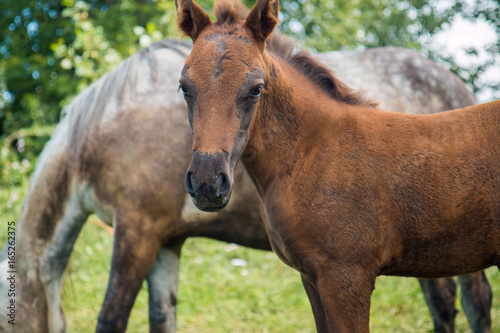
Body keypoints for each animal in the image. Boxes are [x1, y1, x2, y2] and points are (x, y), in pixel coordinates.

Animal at [0, 39, 492, 332]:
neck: (102, 127)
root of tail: (455, 85)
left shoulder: (137, 229)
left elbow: (111, 318)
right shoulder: (166, 241)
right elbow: (162, 316)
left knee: (475, 299)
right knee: (443, 301)